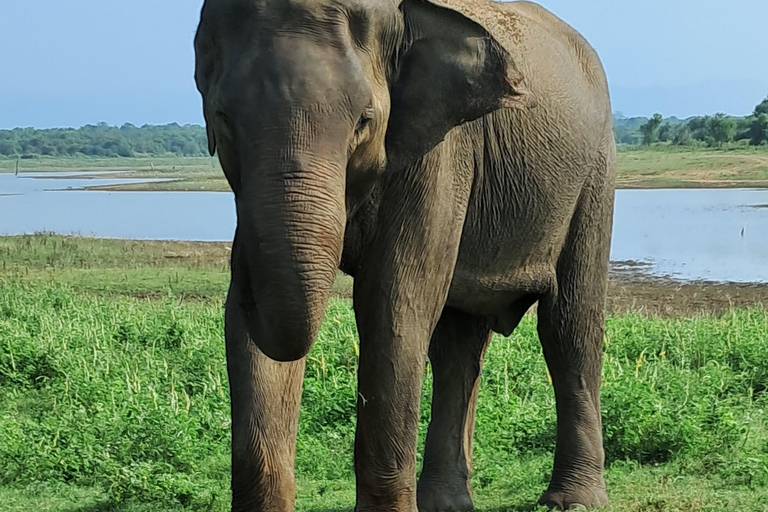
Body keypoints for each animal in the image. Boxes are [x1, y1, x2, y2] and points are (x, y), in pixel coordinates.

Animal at [195, 0, 616, 510]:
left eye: (364, 121)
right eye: (223, 119)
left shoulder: (438, 153)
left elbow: (392, 302)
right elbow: (245, 324)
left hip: (594, 175)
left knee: (568, 329)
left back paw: (572, 500)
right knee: (457, 345)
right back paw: (446, 502)